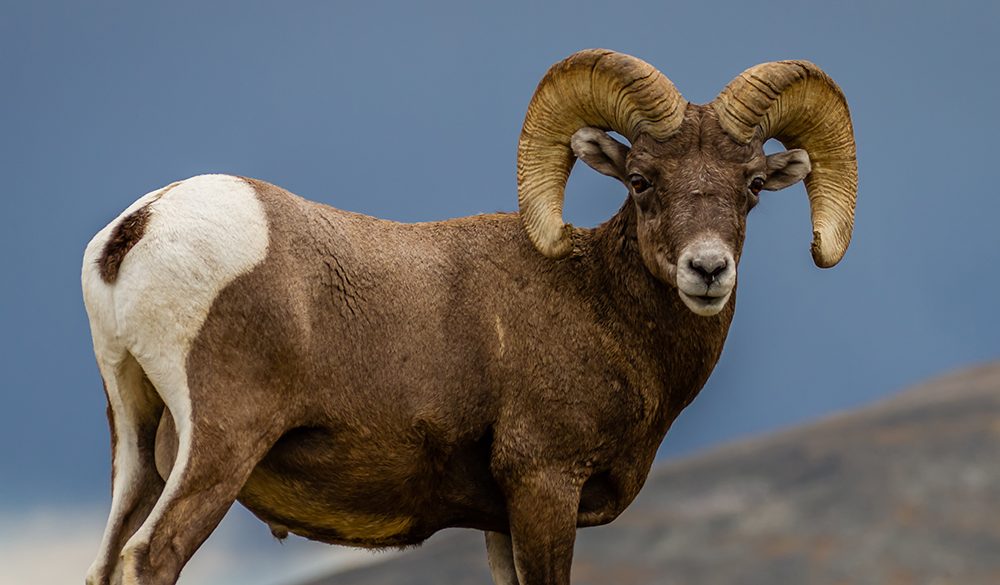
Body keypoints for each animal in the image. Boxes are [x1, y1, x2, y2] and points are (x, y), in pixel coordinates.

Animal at [81, 49, 857, 585]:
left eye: (751, 186)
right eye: (642, 181)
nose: (708, 270)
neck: (599, 306)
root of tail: (139, 229)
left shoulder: (498, 521)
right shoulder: (544, 484)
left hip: (137, 442)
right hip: (219, 442)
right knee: (151, 556)